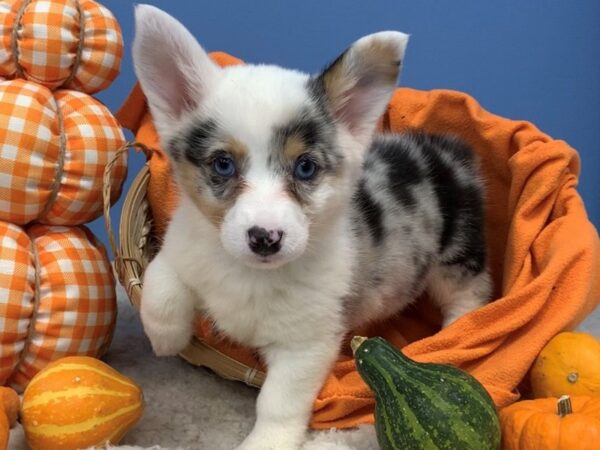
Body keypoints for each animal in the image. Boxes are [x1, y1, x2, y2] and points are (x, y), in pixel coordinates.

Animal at [134, 5, 490, 448]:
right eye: (223, 164)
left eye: (305, 167)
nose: (265, 238)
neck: (249, 277)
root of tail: (448, 148)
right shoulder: (180, 251)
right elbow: (160, 285)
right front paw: (166, 340)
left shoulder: (305, 346)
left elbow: (277, 402)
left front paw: (266, 442)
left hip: (457, 255)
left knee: (471, 294)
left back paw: (459, 330)